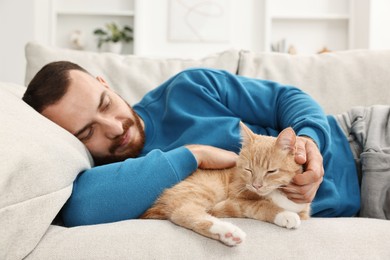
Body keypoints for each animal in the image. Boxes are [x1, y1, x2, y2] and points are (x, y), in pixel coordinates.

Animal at [142, 123, 310, 247]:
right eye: (249, 169)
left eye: (271, 171)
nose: (256, 185)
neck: (277, 192)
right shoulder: (237, 200)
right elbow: (261, 205)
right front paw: (285, 214)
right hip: (205, 188)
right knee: (183, 212)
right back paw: (228, 231)